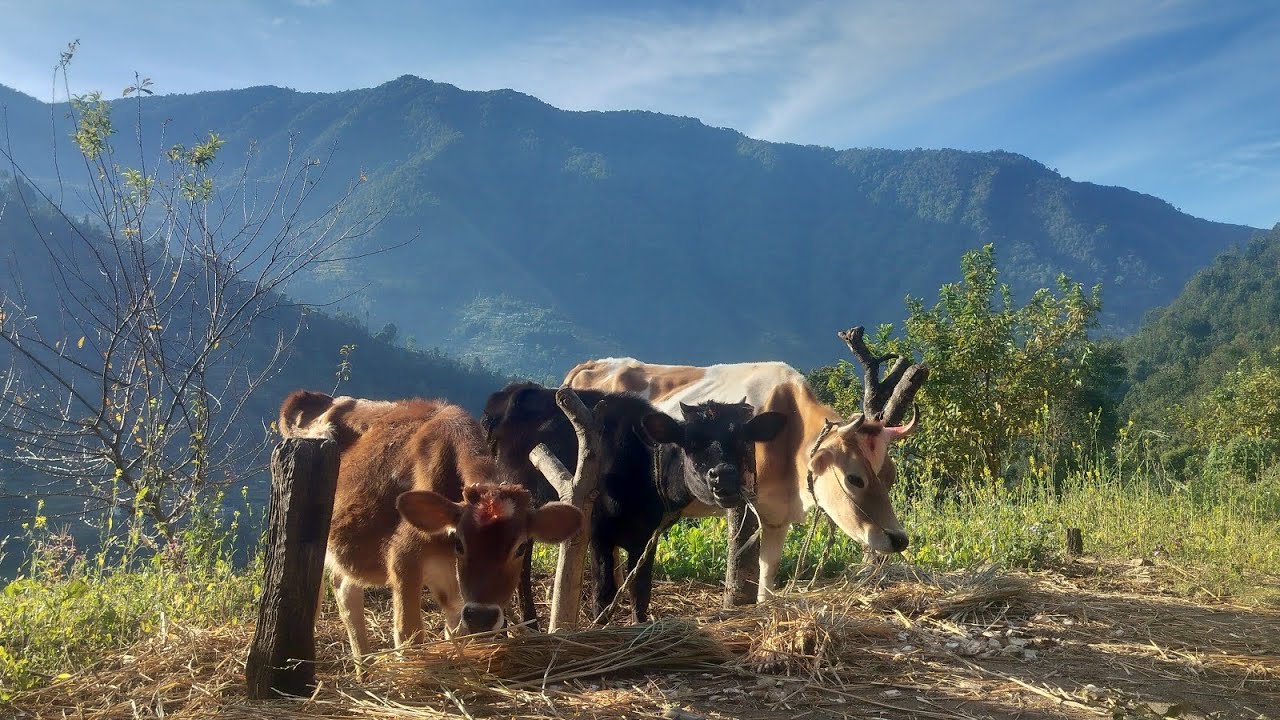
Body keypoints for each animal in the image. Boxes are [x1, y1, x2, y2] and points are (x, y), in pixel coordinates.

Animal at [278, 390, 583, 658]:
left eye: (520, 548)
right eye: (459, 543)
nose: (482, 616)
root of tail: (315, 397)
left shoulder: (454, 591)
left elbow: (456, 637)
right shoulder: (403, 560)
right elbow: (409, 635)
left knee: (345, 588)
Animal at [481, 382, 786, 624]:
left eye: (742, 440)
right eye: (690, 442)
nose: (724, 475)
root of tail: (515, 391)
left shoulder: (647, 536)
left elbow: (640, 590)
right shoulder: (599, 533)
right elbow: (603, 594)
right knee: (520, 568)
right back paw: (527, 623)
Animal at [563, 358, 916, 602]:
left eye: (889, 476)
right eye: (855, 479)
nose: (899, 539)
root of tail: (592, 364)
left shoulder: (776, 513)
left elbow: (768, 571)